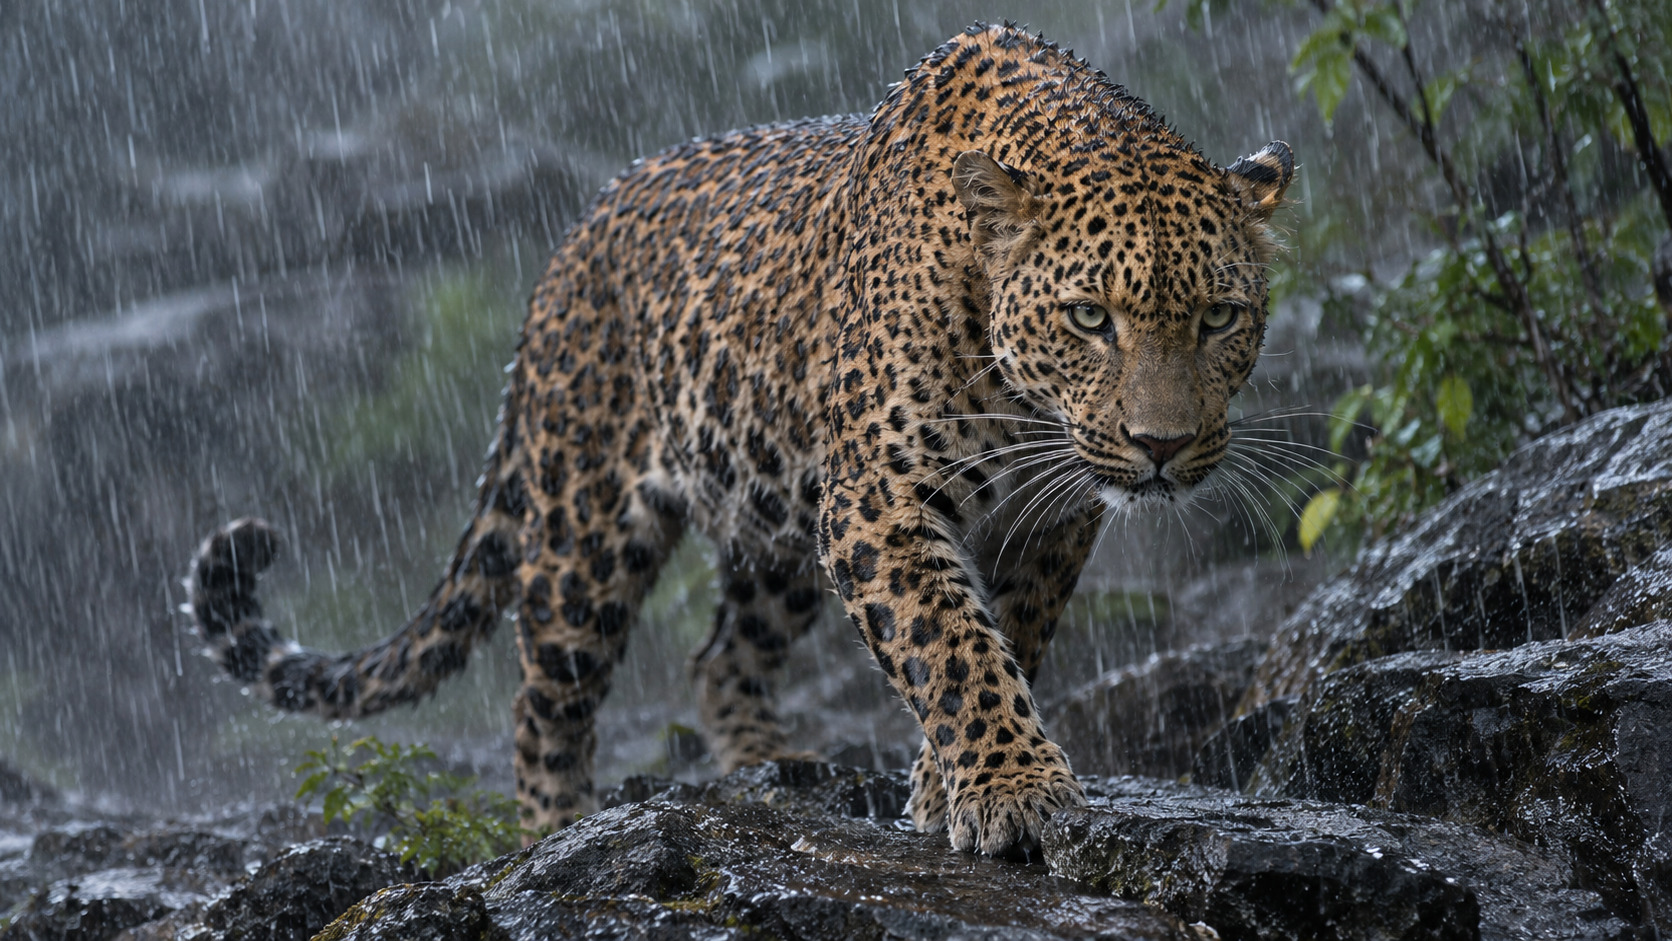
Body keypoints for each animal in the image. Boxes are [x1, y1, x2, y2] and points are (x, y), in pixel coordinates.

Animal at [186, 23, 1293, 856]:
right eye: (1089, 318)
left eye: (1219, 318)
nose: (1160, 446)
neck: (1024, 399)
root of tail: (567, 247)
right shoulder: (883, 499)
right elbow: (949, 644)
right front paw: (1012, 791)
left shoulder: (1046, 518)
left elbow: (1004, 635)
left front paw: (945, 789)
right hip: (585, 522)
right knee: (545, 699)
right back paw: (555, 829)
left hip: (777, 515)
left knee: (721, 655)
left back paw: (774, 765)